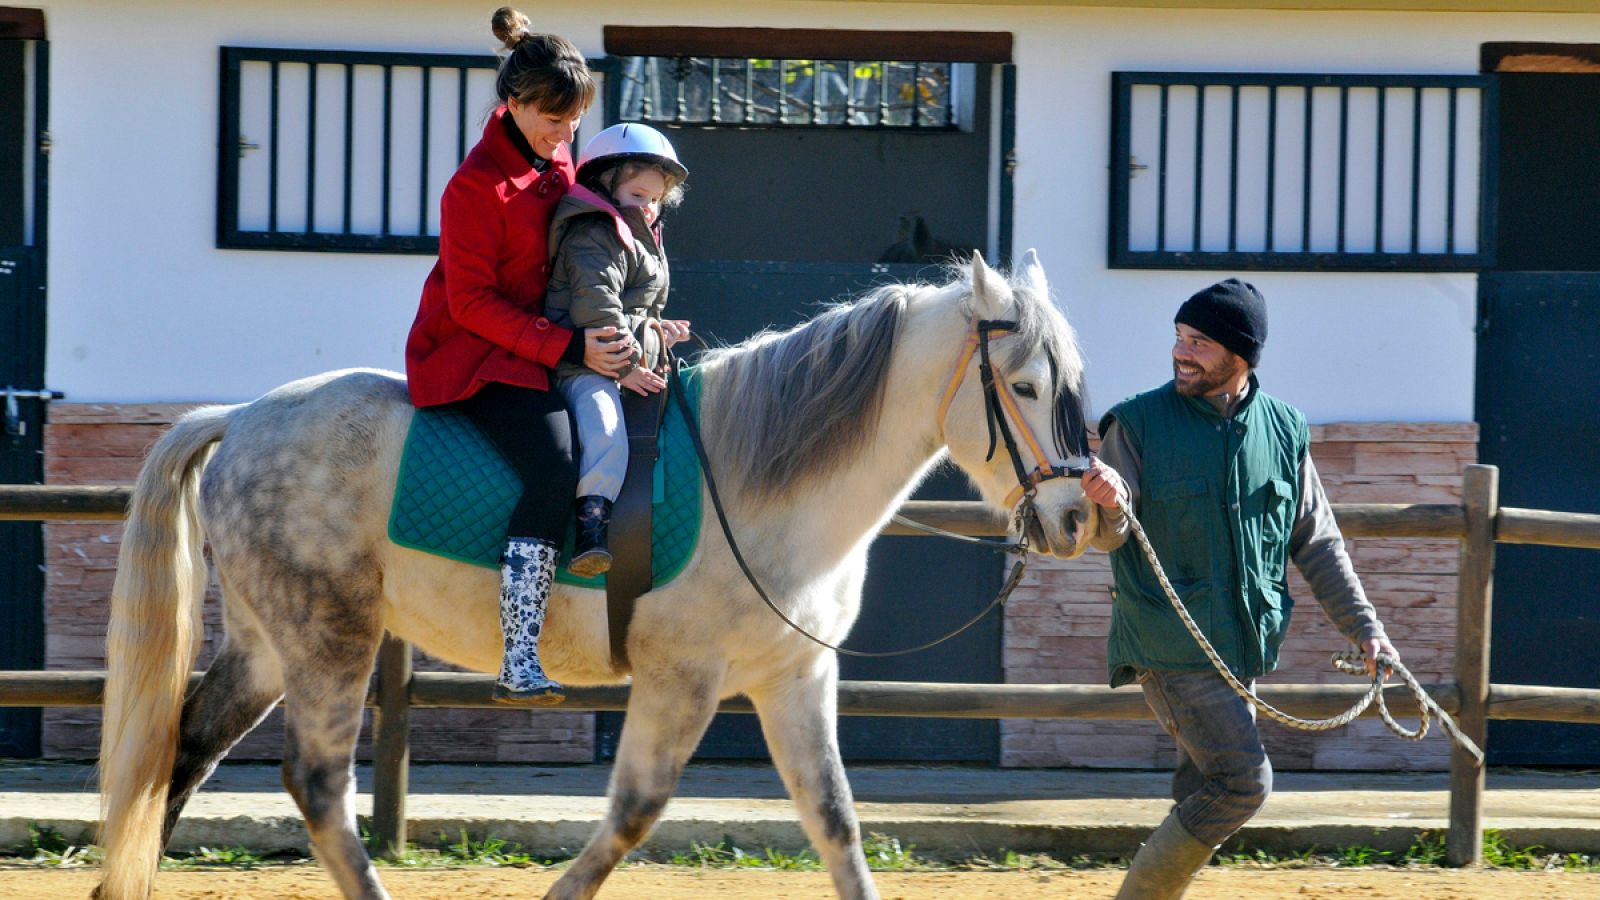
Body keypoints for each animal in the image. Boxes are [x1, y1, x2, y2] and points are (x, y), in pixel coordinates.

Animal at [94, 251, 1098, 900]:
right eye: (1025, 385)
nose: (1080, 516)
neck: (757, 479)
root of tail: (240, 417)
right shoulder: (682, 679)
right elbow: (634, 813)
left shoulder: (794, 676)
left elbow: (837, 824)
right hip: (329, 641)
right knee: (316, 786)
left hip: (271, 644)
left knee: (182, 752)